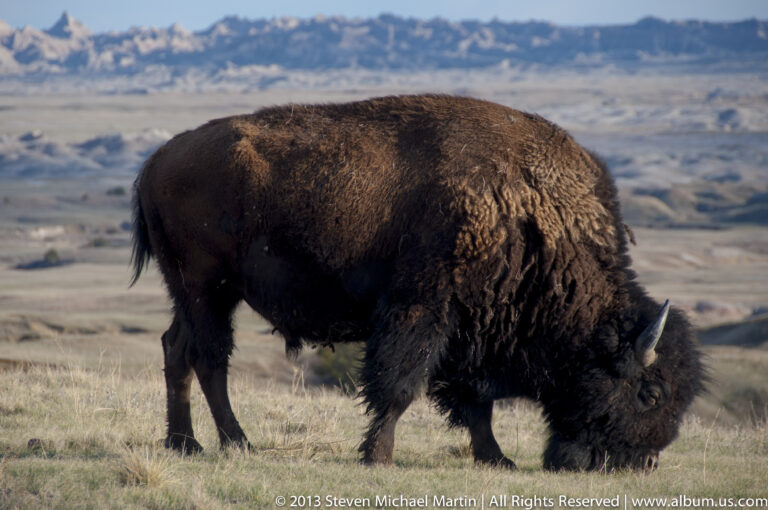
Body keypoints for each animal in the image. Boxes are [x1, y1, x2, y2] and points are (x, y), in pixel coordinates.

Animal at [131, 94, 703, 471]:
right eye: (650, 393)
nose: (640, 464)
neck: (531, 212)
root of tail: (156, 159)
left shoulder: (471, 329)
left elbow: (473, 402)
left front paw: (496, 459)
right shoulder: (423, 313)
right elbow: (401, 387)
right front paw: (378, 457)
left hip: (190, 294)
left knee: (176, 349)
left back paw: (184, 444)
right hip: (208, 289)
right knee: (210, 358)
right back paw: (237, 443)